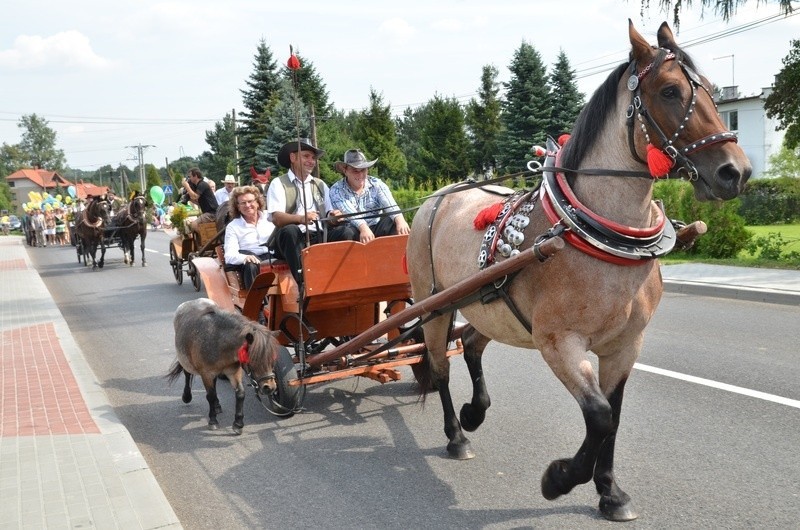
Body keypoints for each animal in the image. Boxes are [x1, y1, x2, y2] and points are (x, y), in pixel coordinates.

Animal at [406, 21, 752, 520]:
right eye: (669, 91)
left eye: (708, 88)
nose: (735, 172)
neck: (597, 235)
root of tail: (436, 197)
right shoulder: (558, 343)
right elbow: (600, 415)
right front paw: (559, 479)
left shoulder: (625, 344)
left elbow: (614, 415)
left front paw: (610, 491)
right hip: (433, 306)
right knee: (439, 367)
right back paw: (456, 434)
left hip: (490, 307)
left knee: (469, 345)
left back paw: (476, 411)